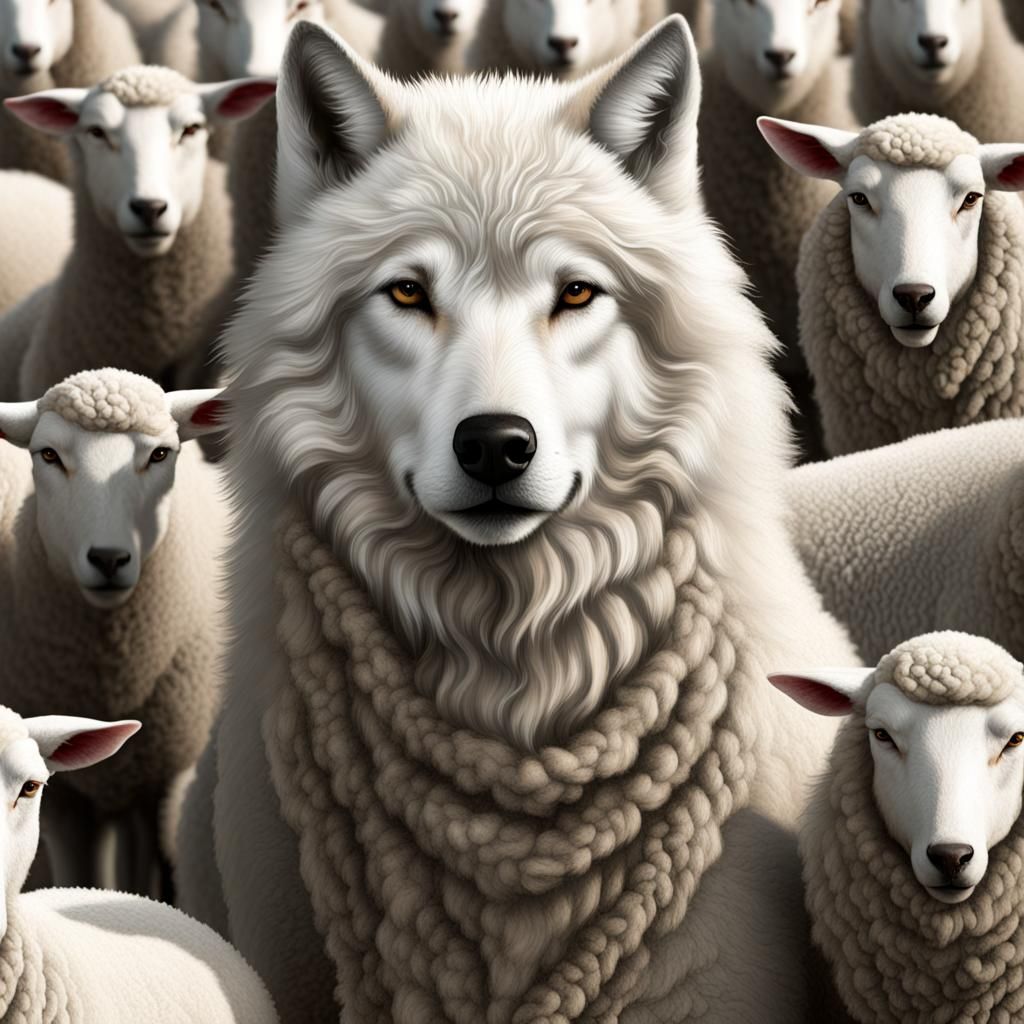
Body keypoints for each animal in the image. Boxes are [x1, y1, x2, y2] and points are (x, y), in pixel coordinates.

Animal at [0, 368, 230, 900]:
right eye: (48, 454)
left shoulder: (165, 780)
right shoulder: (68, 803)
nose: (108, 558)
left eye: (161, 453)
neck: (113, 671)